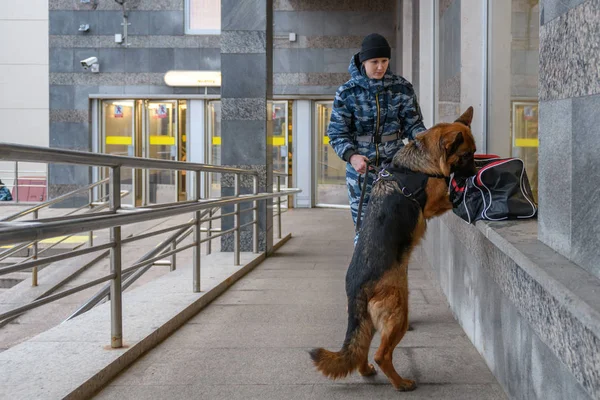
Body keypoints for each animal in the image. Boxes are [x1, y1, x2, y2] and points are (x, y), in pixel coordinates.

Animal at [312, 106, 476, 390]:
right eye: (467, 155)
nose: (477, 168)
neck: (420, 162)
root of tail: (355, 286)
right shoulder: (434, 203)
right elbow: (448, 193)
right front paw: (460, 188)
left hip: (370, 322)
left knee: (361, 348)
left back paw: (366, 371)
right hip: (399, 313)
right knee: (381, 354)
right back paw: (401, 383)